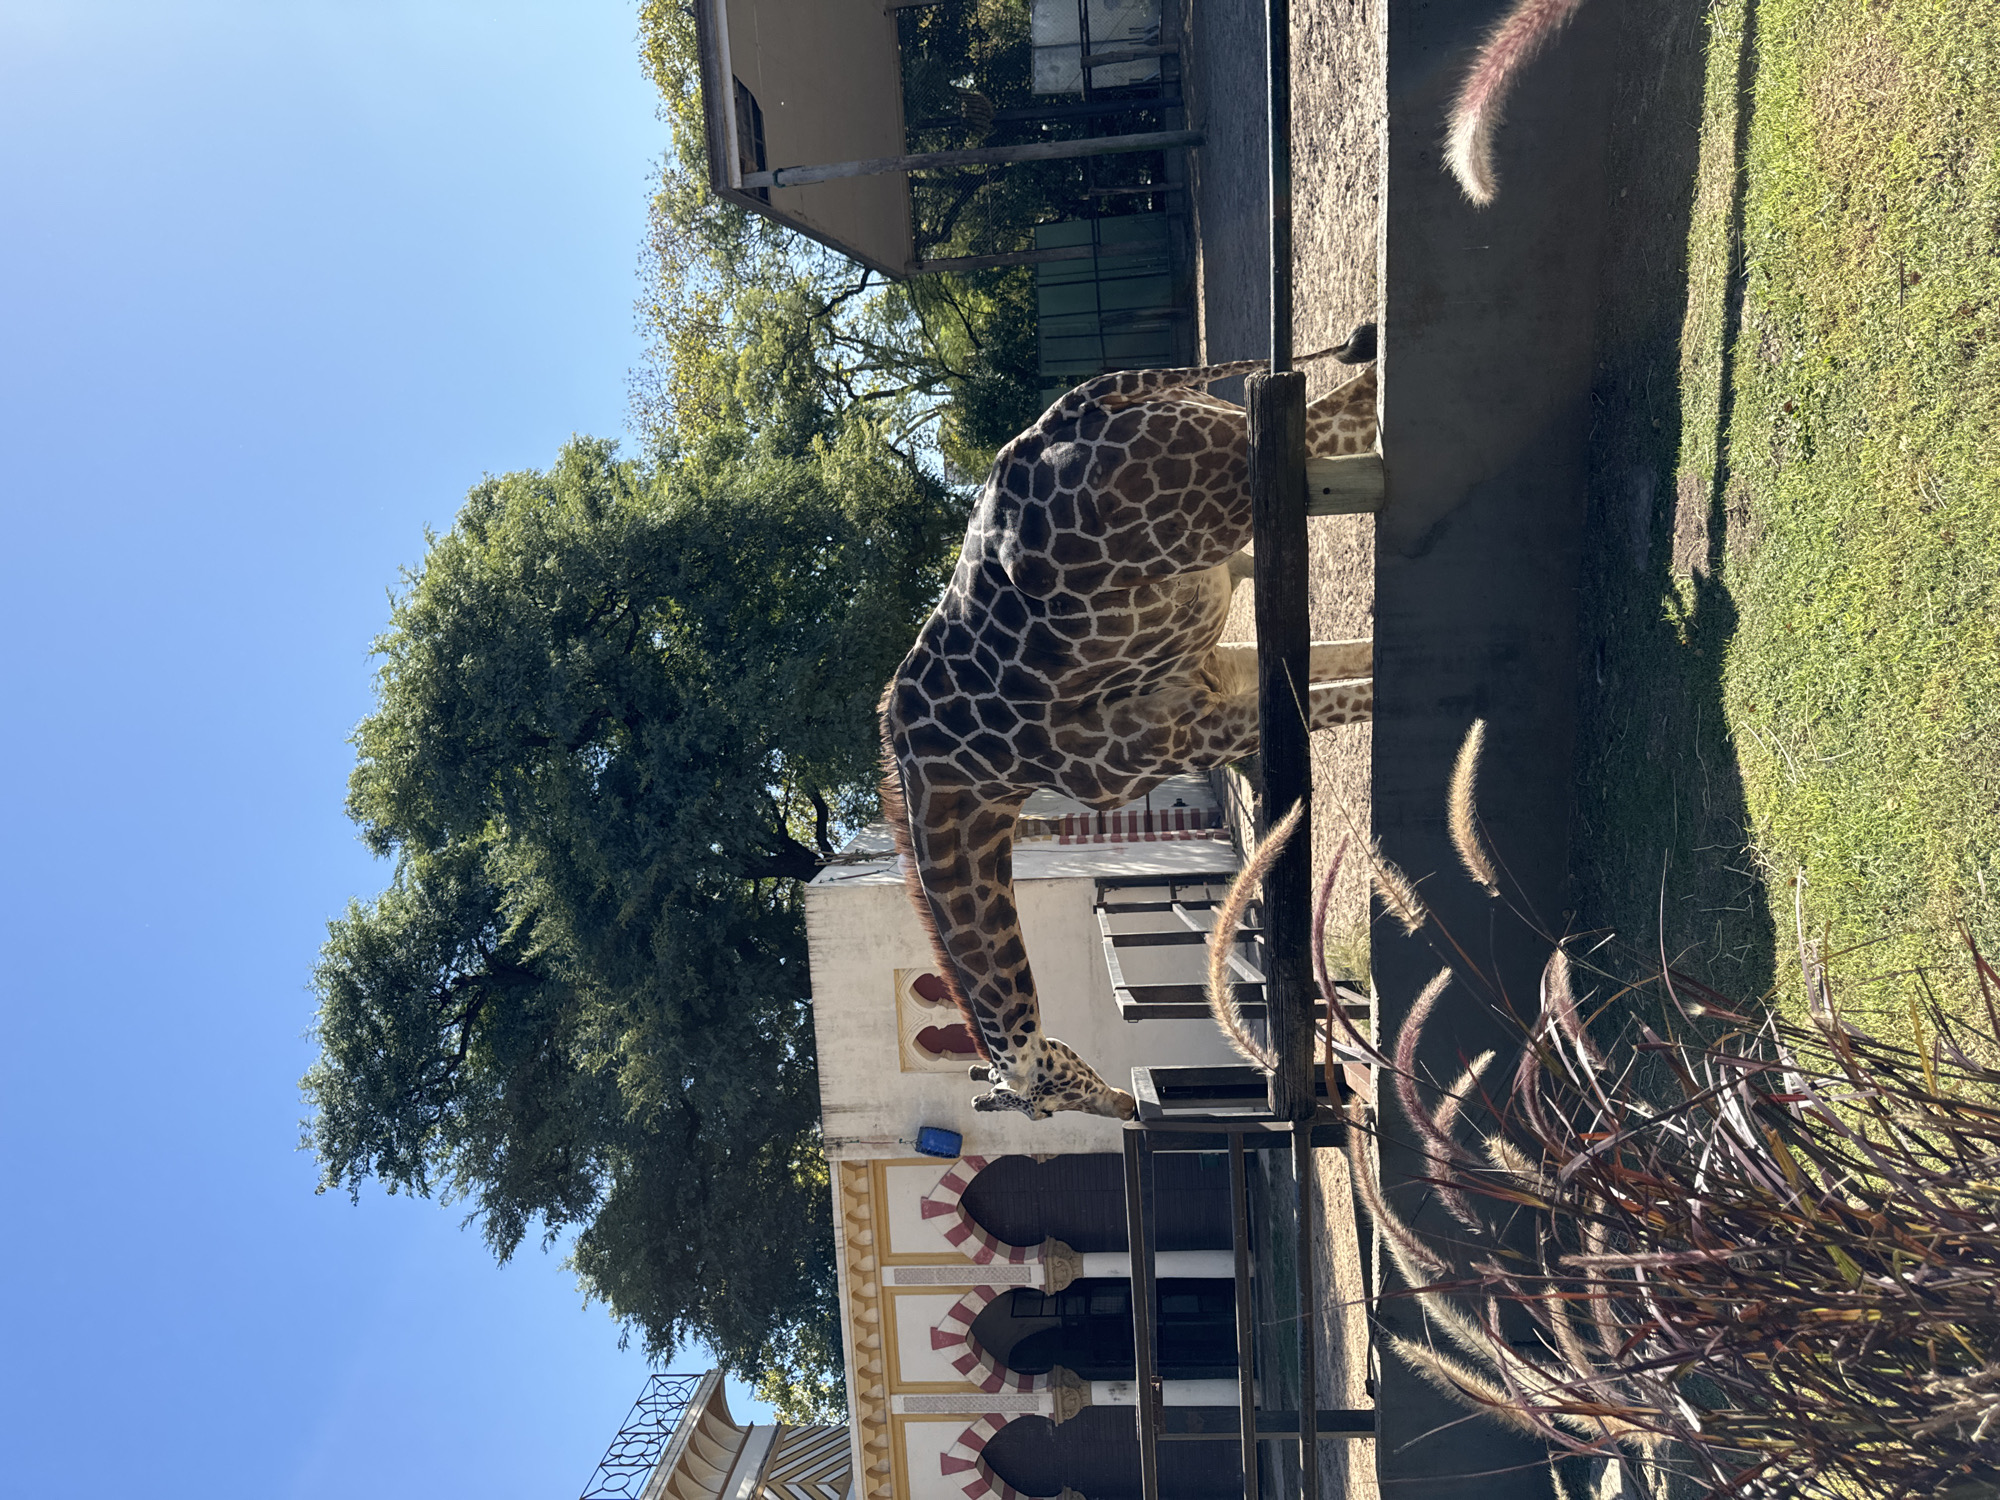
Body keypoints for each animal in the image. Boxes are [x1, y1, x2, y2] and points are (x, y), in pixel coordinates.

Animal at [879, 337, 1378, 1122]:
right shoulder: (1210, 682)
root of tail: (1076, 408)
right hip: (1228, 452)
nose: (1126, 1107)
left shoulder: (1183, 733)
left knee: (1355, 404)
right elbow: (1347, 669)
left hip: (1230, 489)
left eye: (1045, 1101)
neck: (979, 780)